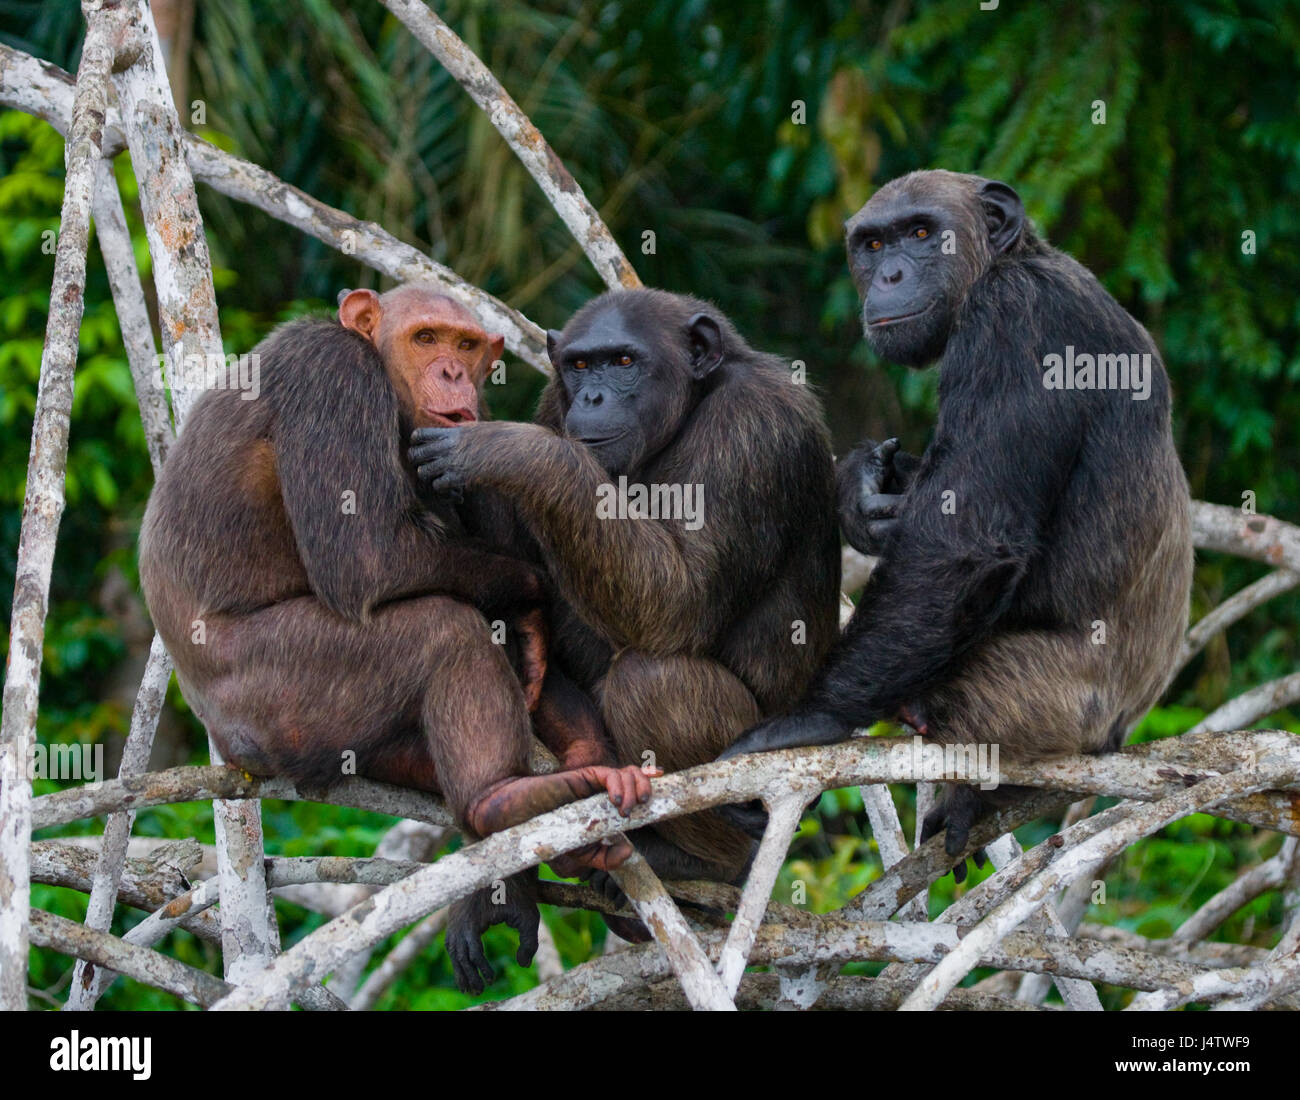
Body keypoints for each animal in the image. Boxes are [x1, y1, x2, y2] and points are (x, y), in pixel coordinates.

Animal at [413, 292, 842, 894]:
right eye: (579, 366)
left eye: (622, 362)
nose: (592, 396)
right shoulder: (554, 402)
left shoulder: (754, 427)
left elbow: (681, 598)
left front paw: (512, 450)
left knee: (654, 680)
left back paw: (699, 861)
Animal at [717, 171, 1190, 878]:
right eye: (873, 243)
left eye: (920, 232)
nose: (889, 273)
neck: (1007, 263)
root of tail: (1118, 733)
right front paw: (861, 487)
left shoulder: (1016, 324)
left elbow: (961, 537)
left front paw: (812, 718)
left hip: (1044, 701)